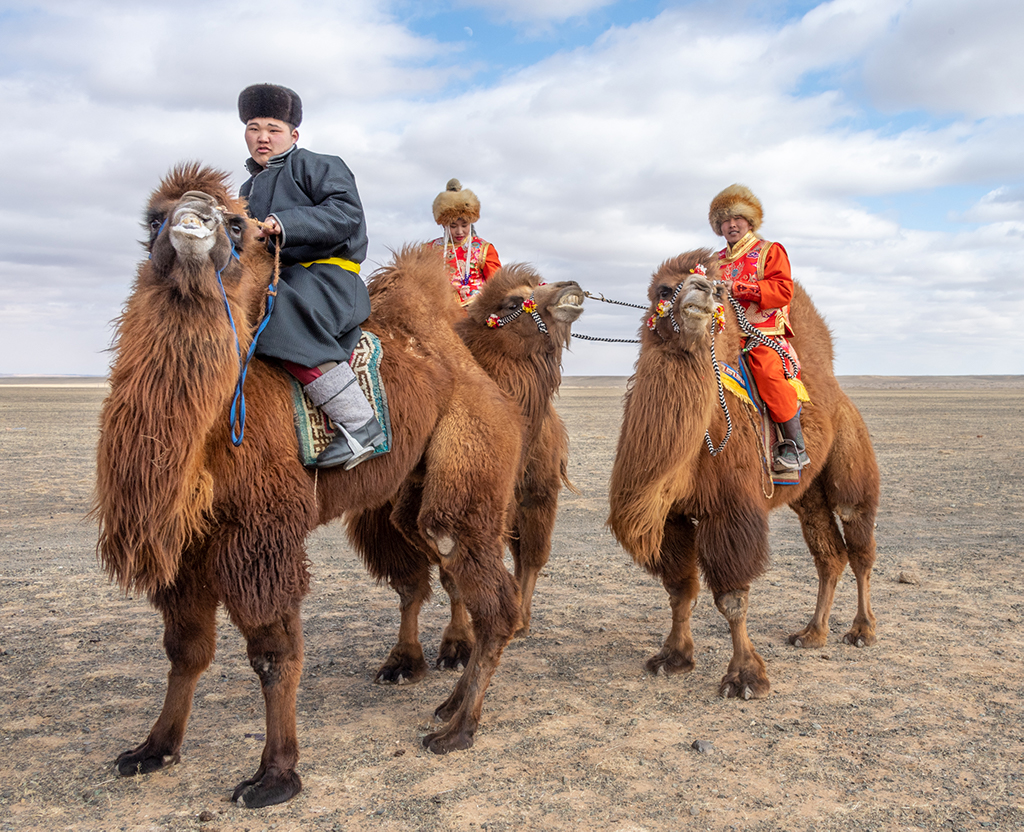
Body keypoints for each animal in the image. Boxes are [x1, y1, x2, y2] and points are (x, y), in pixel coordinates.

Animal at [93, 162, 524, 807]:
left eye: (238, 224)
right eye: (153, 218)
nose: (194, 214)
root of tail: (475, 372)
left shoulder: (261, 533)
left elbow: (274, 656)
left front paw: (274, 775)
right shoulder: (185, 544)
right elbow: (185, 650)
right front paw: (153, 749)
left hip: (471, 458)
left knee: (483, 585)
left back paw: (458, 728)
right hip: (411, 494)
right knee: (440, 566)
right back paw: (437, 692)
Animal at [346, 264, 581, 684]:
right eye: (513, 301)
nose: (569, 287)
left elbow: (452, 577)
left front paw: (458, 646)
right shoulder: (383, 517)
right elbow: (409, 586)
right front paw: (401, 660)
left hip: (537, 491)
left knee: (532, 555)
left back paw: (521, 619)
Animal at [606, 248, 880, 700]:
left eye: (720, 291)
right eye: (663, 290)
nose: (703, 290)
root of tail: (839, 395)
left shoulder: (730, 509)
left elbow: (732, 599)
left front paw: (745, 678)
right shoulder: (671, 516)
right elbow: (679, 589)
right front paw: (673, 657)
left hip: (851, 458)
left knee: (858, 542)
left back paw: (862, 631)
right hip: (808, 495)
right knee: (829, 555)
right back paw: (812, 633)